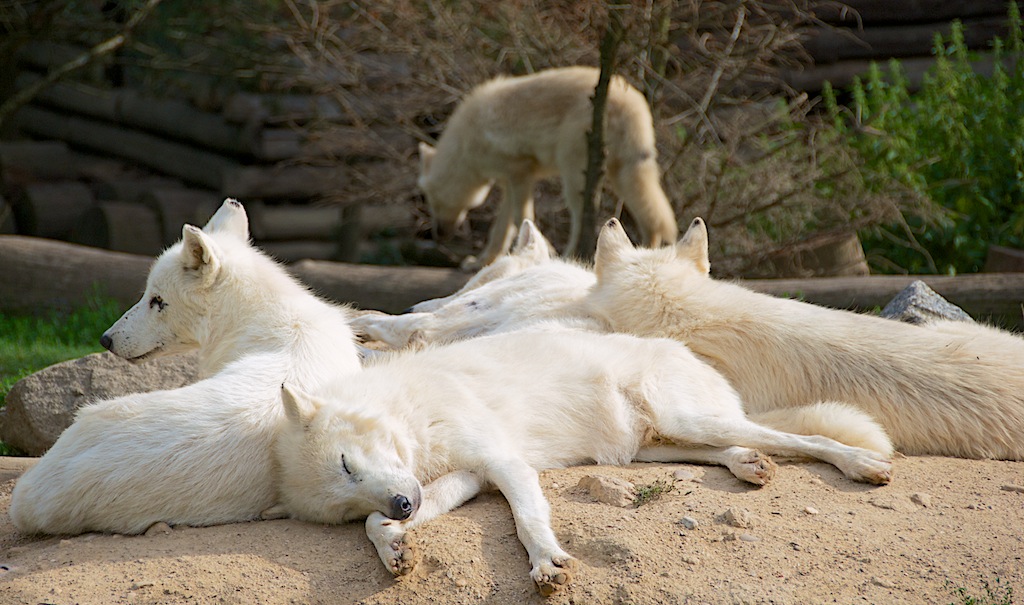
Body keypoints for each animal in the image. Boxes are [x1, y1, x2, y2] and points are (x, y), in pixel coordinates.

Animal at [274, 328, 893, 596]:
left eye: (347, 464)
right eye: (345, 499)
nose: (403, 503)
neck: (410, 410)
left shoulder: (504, 464)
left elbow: (528, 520)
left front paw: (547, 564)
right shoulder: (472, 477)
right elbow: (377, 527)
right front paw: (395, 548)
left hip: (693, 421)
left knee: (800, 438)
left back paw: (862, 463)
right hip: (653, 445)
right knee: (735, 449)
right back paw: (749, 465)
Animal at [418, 65, 678, 269]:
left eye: (433, 201)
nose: (437, 235)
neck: (465, 145)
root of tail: (635, 105)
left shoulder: (520, 173)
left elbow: (521, 219)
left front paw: (546, 251)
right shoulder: (510, 182)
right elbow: (500, 230)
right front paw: (482, 262)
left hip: (574, 176)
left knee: (583, 219)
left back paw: (570, 257)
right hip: (622, 175)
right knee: (652, 217)